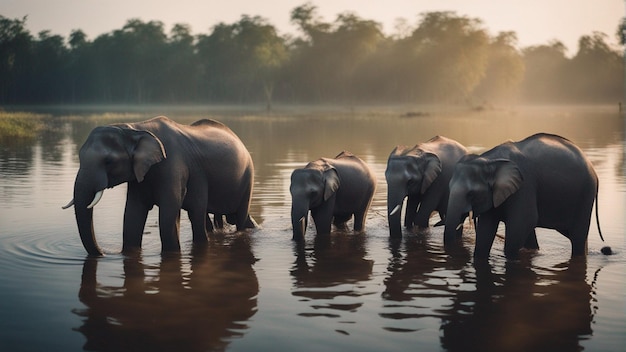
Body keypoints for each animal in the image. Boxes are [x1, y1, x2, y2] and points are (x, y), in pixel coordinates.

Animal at [64, 115, 256, 256]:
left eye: (108, 161)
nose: (106, 253)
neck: (135, 128)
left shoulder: (173, 166)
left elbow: (167, 215)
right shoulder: (140, 175)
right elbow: (133, 214)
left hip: (248, 177)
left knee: (234, 216)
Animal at [442, 132, 604, 258]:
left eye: (471, 194)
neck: (490, 161)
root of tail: (594, 172)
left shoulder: (525, 186)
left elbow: (523, 222)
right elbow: (486, 228)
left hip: (585, 196)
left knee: (577, 237)